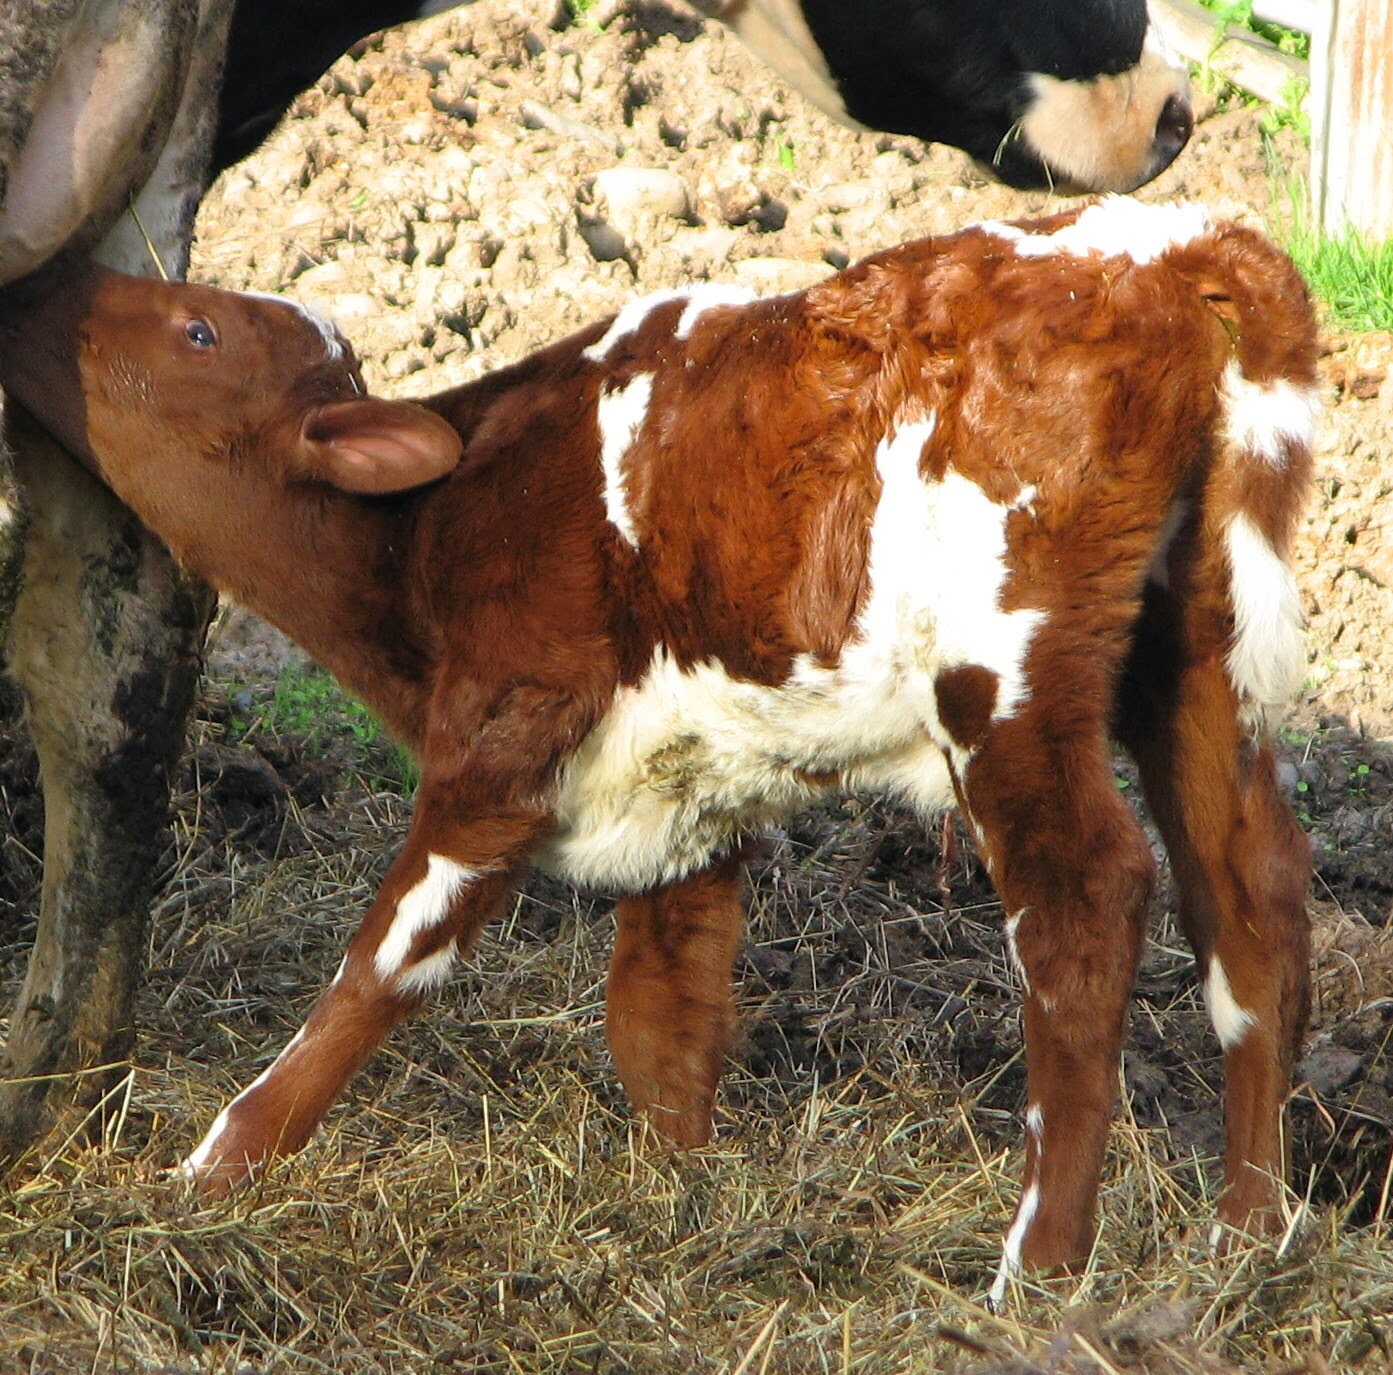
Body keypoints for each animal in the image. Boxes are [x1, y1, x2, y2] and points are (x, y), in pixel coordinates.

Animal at [0, 196, 1314, 1298]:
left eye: (198, 329)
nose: (50, 285)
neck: (428, 535)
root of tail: (1168, 242)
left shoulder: (498, 754)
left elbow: (383, 964)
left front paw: (206, 1173)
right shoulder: (687, 799)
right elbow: (661, 1017)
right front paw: (686, 1194)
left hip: (1008, 674)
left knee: (1088, 896)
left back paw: (1036, 1268)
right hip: (1196, 647)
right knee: (1245, 889)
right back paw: (1246, 1234)